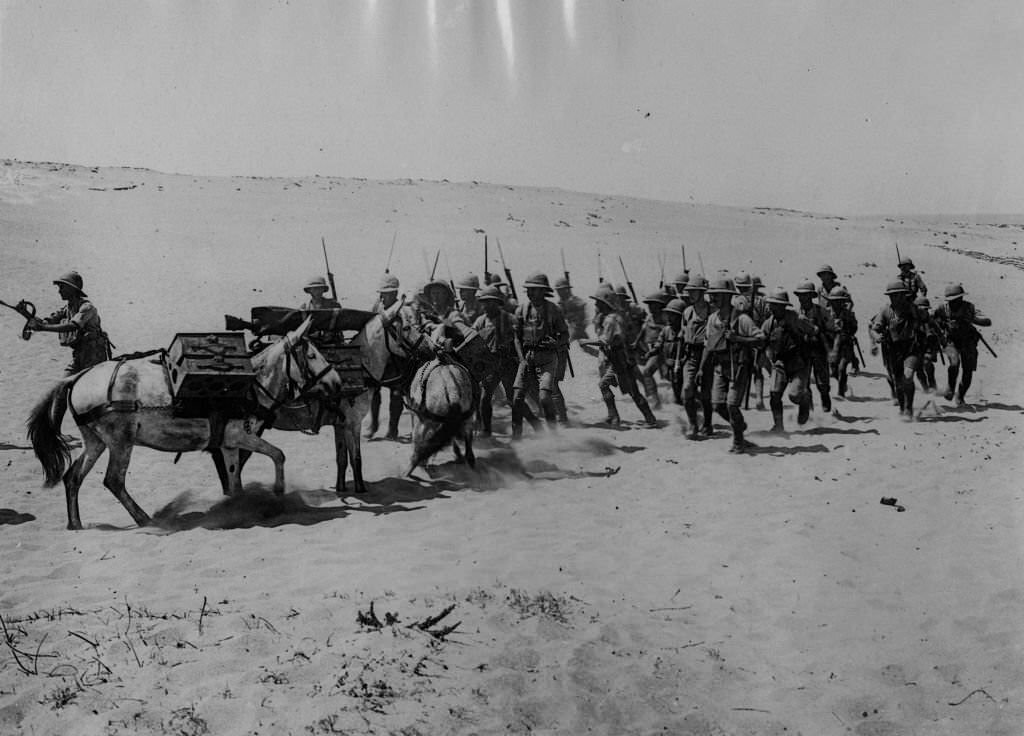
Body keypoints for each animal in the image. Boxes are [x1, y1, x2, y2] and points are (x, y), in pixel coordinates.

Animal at [27, 317, 339, 528]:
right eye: (312, 355)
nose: (336, 383)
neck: (251, 385)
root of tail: (78, 377)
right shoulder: (241, 437)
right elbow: (278, 454)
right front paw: (277, 492)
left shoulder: (227, 444)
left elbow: (235, 481)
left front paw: (237, 508)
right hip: (120, 442)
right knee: (113, 480)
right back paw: (145, 519)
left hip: (95, 441)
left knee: (73, 477)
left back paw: (76, 524)